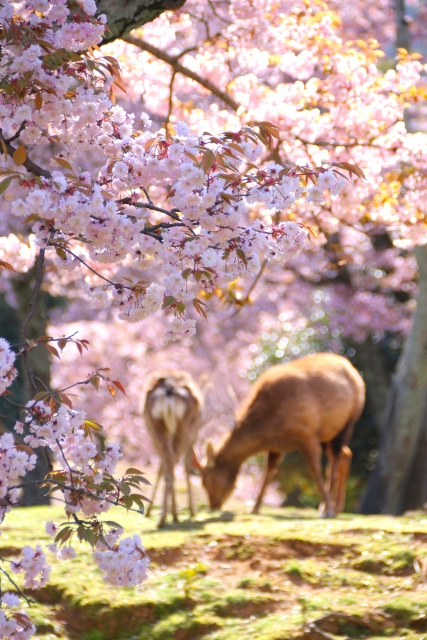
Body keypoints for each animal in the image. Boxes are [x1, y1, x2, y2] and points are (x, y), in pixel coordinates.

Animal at [144, 372, 204, 528]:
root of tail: (168, 389)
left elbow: (160, 467)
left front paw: (149, 511)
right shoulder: (194, 435)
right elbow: (187, 465)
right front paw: (192, 511)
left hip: (154, 426)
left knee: (168, 461)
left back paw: (164, 517)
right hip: (185, 427)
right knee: (173, 460)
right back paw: (173, 515)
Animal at [194, 352, 364, 516]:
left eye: (206, 481)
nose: (213, 506)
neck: (268, 426)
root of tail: (354, 371)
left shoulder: (307, 434)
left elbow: (315, 470)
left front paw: (327, 508)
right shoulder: (277, 446)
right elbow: (268, 473)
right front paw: (255, 508)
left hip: (348, 422)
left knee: (333, 464)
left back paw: (326, 509)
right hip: (328, 433)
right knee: (345, 454)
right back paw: (338, 507)